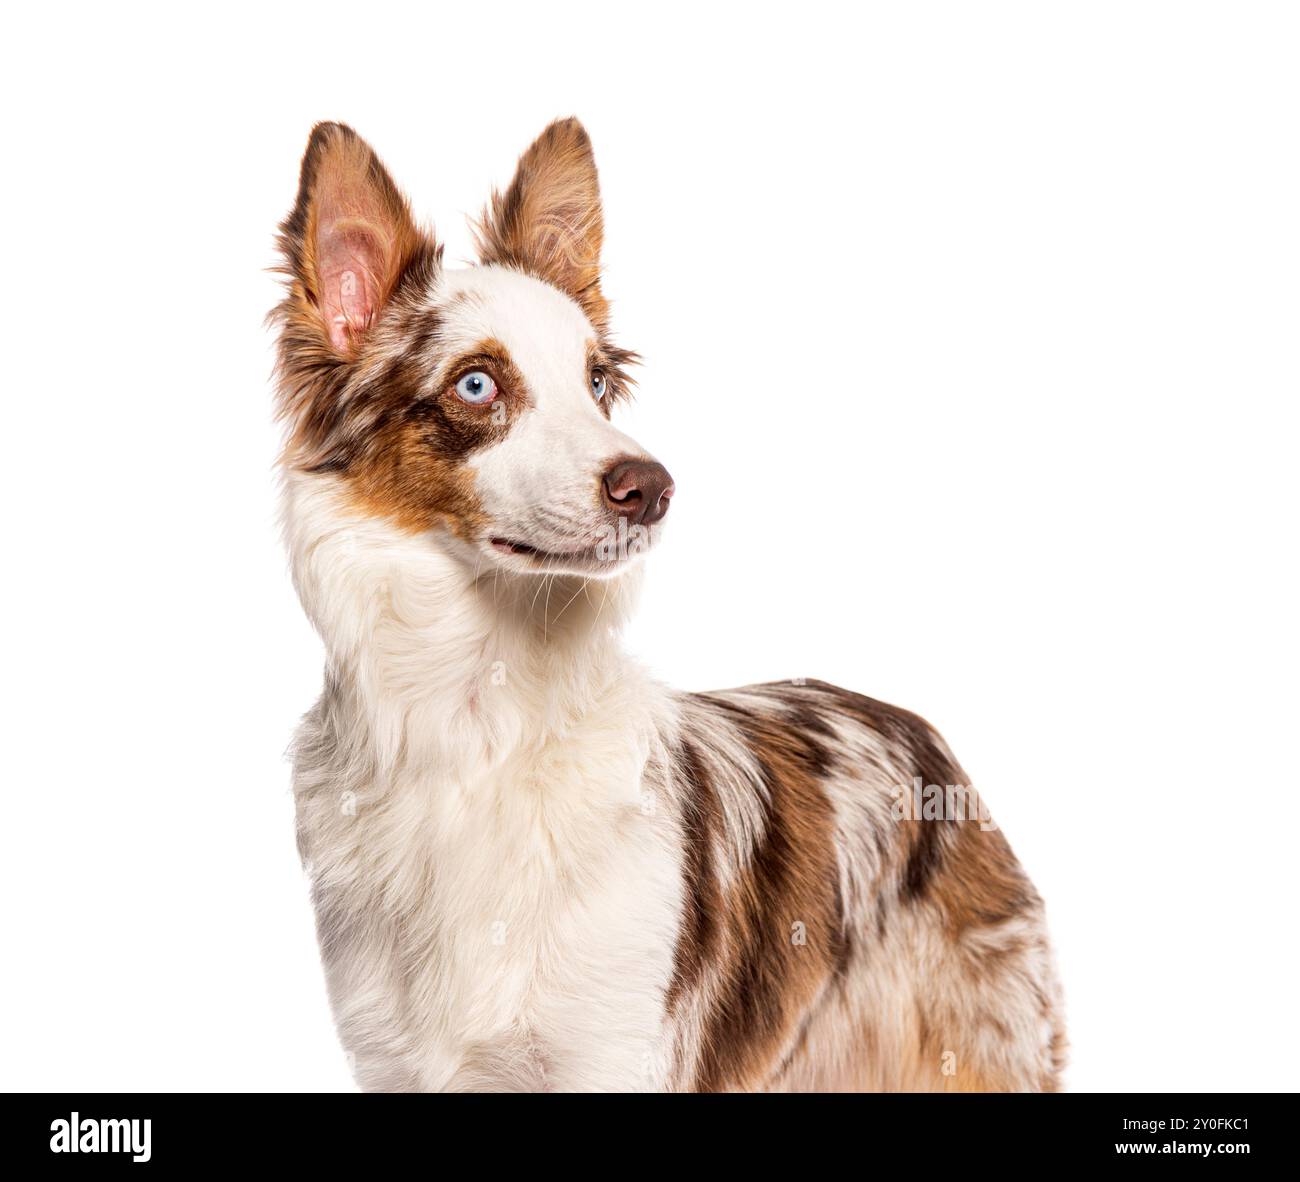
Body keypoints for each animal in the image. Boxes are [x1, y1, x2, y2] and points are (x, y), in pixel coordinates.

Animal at [269, 119, 1060, 1087]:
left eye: (598, 384)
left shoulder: (613, 1052)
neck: (477, 716)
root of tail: (915, 726)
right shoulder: (400, 1061)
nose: (651, 487)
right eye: (476, 385)